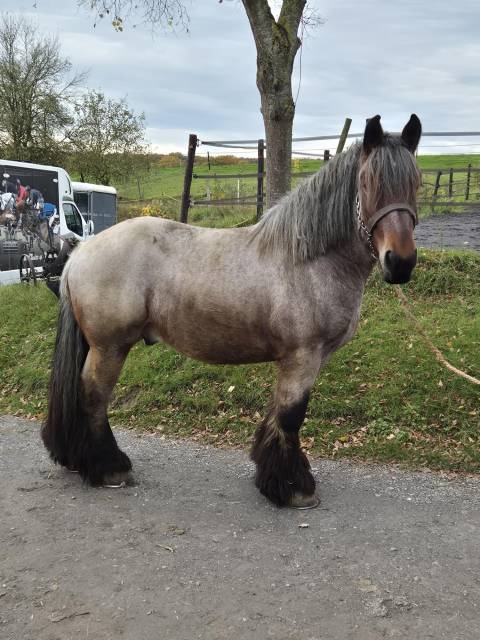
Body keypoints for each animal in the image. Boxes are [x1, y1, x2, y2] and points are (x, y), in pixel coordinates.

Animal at [41, 114, 422, 508]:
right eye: (370, 183)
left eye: (416, 183)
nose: (400, 263)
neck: (307, 259)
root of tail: (80, 252)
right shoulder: (302, 356)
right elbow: (291, 416)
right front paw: (294, 487)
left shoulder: (305, 359)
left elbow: (277, 413)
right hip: (110, 347)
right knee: (94, 397)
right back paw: (109, 468)